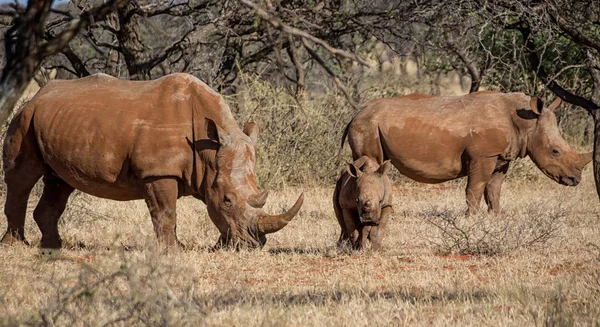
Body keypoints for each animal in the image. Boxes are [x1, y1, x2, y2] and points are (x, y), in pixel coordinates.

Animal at [2, 73, 304, 250]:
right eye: (228, 199)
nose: (256, 244)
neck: (208, 153)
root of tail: (38, 95)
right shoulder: (158, 172)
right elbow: (166, 213)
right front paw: (171, 252)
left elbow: (192, 213)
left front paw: (206, 246)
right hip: (24, 117)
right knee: (22, 177)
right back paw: (16, 245)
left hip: (57, 122)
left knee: (59, 181)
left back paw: (53, 247)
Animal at [340, 92, 592, 215]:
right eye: (555, 151)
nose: (575, 180)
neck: (525, 121)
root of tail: (354, 116)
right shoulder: (484, 156)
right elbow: (476, 188)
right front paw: (471, 218)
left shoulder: (501, 157)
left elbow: (494, 189)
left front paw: (496, 217)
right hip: (367, 126)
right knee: (371, 165)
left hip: (369, 124)